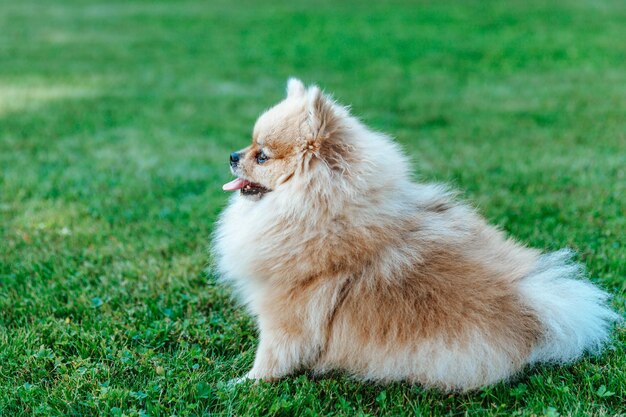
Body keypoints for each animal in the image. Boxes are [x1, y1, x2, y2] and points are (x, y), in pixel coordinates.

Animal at [212, 78, 616, 390]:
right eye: (249, 145)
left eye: (262, 155)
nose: (232, 155)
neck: (321, 213)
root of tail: (532, 308)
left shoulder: (286, 312)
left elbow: (272, 357)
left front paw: (242, 383)